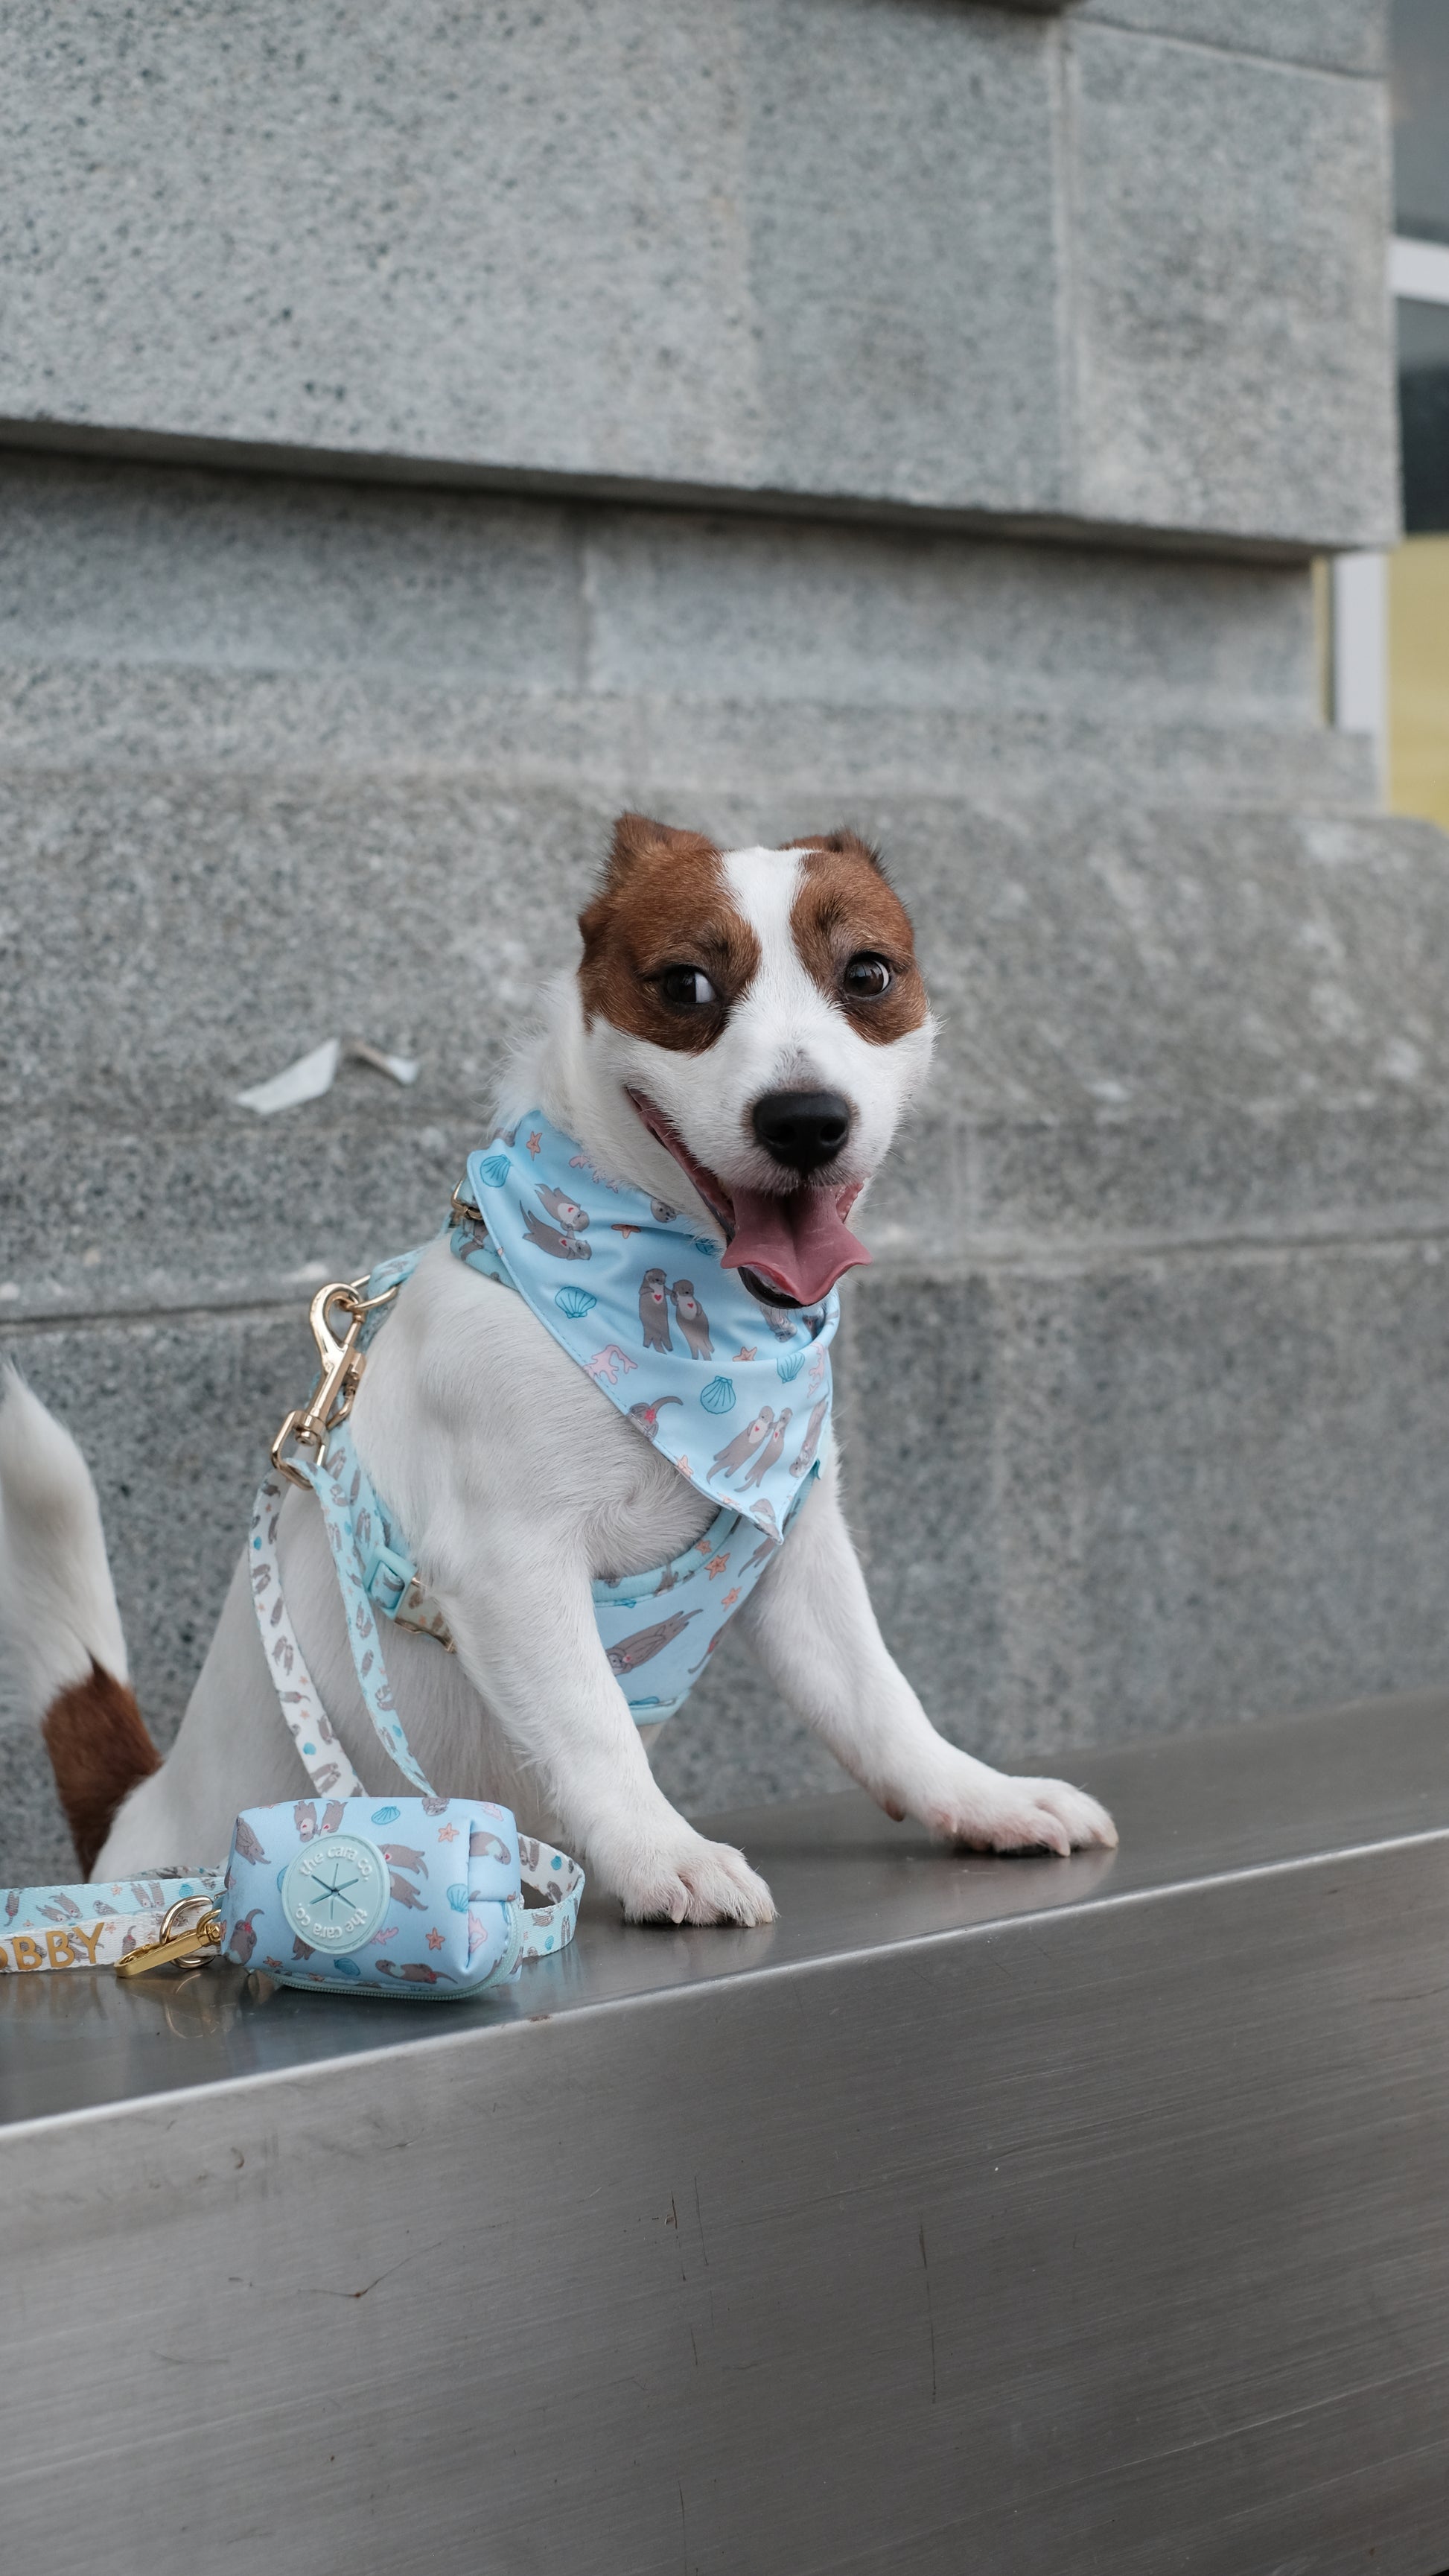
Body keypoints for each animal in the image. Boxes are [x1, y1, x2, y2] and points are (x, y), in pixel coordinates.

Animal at [0, 814, 1117, 1927]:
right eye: (685, 986)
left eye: (868, 973)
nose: (804, 1119)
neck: (685, 1331)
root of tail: (135, 1823)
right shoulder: (512, 1565)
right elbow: (593, 1727)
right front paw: (662, 1852)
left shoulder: (796, 1552)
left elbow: (880, 1700)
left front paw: (980, 1795)